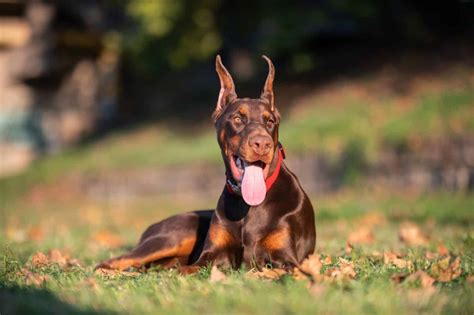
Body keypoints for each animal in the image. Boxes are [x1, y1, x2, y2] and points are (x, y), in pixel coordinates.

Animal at [97, 55, 314, 272]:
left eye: (270, 122)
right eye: (237, 118)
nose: (262, 144)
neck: (247, 204)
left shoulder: (286, 259)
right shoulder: (211, 255)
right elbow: (188, 269)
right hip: (175, 236)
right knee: (115, 261)